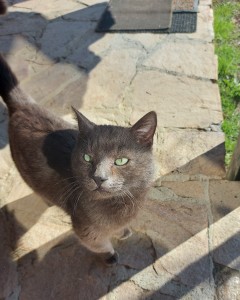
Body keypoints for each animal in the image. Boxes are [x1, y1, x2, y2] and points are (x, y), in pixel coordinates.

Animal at [0, 54, 158, 264]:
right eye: (87, 157)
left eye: (121, 161)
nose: (99, 177)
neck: (121, 203)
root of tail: (23, 106)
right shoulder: (85, 228)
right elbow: (98, 243)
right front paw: (110, 256)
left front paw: (123, 232)